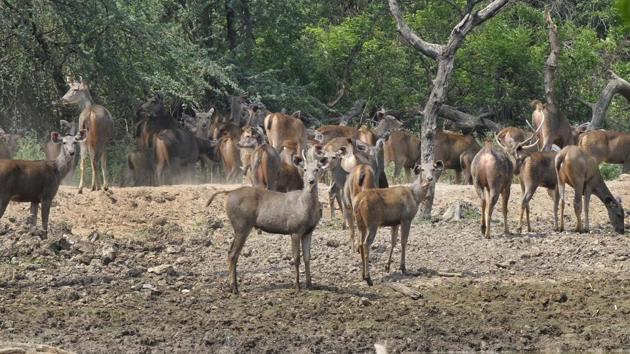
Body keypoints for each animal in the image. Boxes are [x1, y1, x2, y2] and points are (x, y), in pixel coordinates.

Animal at [209, 153, 336, 294]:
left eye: (317, 169)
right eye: (305, 169)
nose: (311, 181)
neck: (305, 207)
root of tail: (229, 193)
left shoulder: (308, 232)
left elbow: (307, 257)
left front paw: (310, 285)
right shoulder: (295, 229)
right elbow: (296, 258)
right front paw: (297, 286)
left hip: (240, 226)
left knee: (231, 253)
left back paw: (231, 286)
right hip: (242, 224)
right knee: (232, 254)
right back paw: (234, 288)